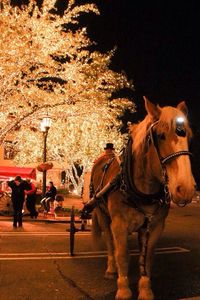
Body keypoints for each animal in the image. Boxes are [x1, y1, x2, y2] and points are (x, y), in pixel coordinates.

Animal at [90, 97, 195, 298]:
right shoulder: (119, 224)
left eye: (189, 137)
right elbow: (122, 254)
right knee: (109, 242)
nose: (185, 189)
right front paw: (123, 289)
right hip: (102, 214)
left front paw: (145, 290)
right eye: (161, 135)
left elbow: (147, 258)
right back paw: (111, 268)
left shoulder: (154, 226)